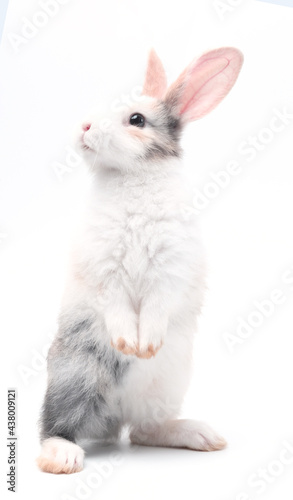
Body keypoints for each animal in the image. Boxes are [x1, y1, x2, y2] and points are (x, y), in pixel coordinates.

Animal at [36, 46, 242, 472]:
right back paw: (62, 456)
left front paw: (145, 346)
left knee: (145, 430)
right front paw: (129, 344)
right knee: (55, 425)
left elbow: (158, 304)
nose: (84, 126)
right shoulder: (105, 268)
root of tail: (113, 417)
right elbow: (115, 305)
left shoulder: (170, 267)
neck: (129, 176)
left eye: (136, 120)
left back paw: (200, 434)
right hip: (75, 375)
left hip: (167, 383)